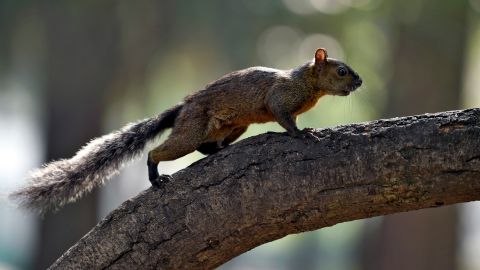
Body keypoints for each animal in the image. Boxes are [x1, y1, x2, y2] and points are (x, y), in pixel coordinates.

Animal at [9, 48, 362, 213]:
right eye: (342, 71)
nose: (360, 82)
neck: (307, 84)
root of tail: (182, 108)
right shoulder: (280, 97)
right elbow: (284, 118)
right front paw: (303, 134)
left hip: (235, 125)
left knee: (207, 147)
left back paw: (220, 150)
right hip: (192, 130)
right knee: (159, 151)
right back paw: (155, 177)